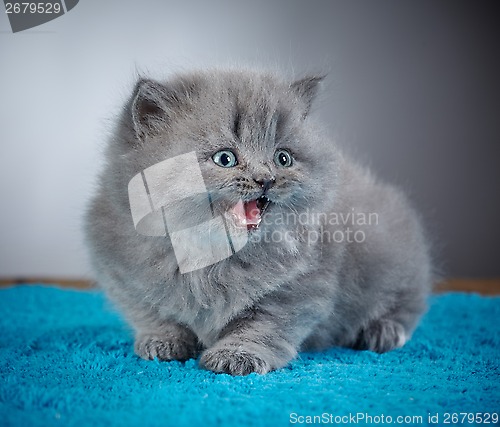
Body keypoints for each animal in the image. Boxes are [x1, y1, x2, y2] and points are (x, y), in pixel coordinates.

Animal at [84, 68, 432, 376]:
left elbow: (263, 325)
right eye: (225, 158)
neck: (211, 260)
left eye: (283, 158)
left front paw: (236, 355)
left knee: (407, 304)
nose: (265, 179)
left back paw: (382, 331)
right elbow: (151, 311)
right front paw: (163, 341)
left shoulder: (301, 287)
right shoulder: (121, 271)